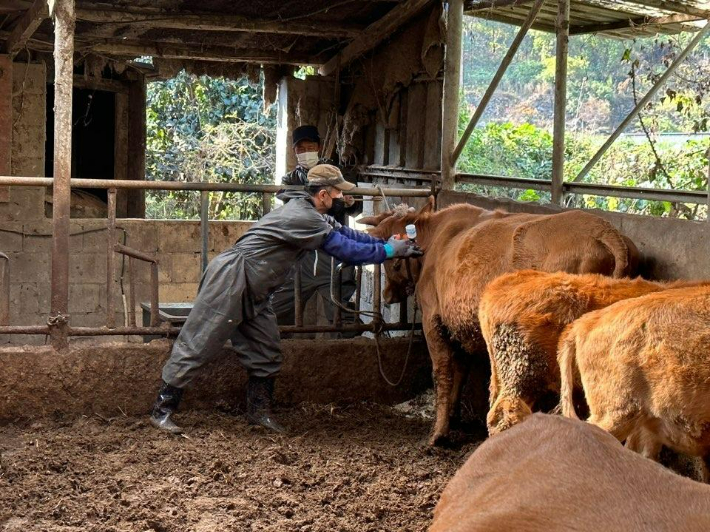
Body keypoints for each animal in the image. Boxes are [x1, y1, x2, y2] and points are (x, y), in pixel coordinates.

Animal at [364, 200, 636, 444]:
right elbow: (461, 371)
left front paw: (438, 434)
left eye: (389, 259)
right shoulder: (461, 329)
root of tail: (603, 229)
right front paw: (454, 417)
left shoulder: (433, 319)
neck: (436, 241)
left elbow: (442, 372)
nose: (387, 296)